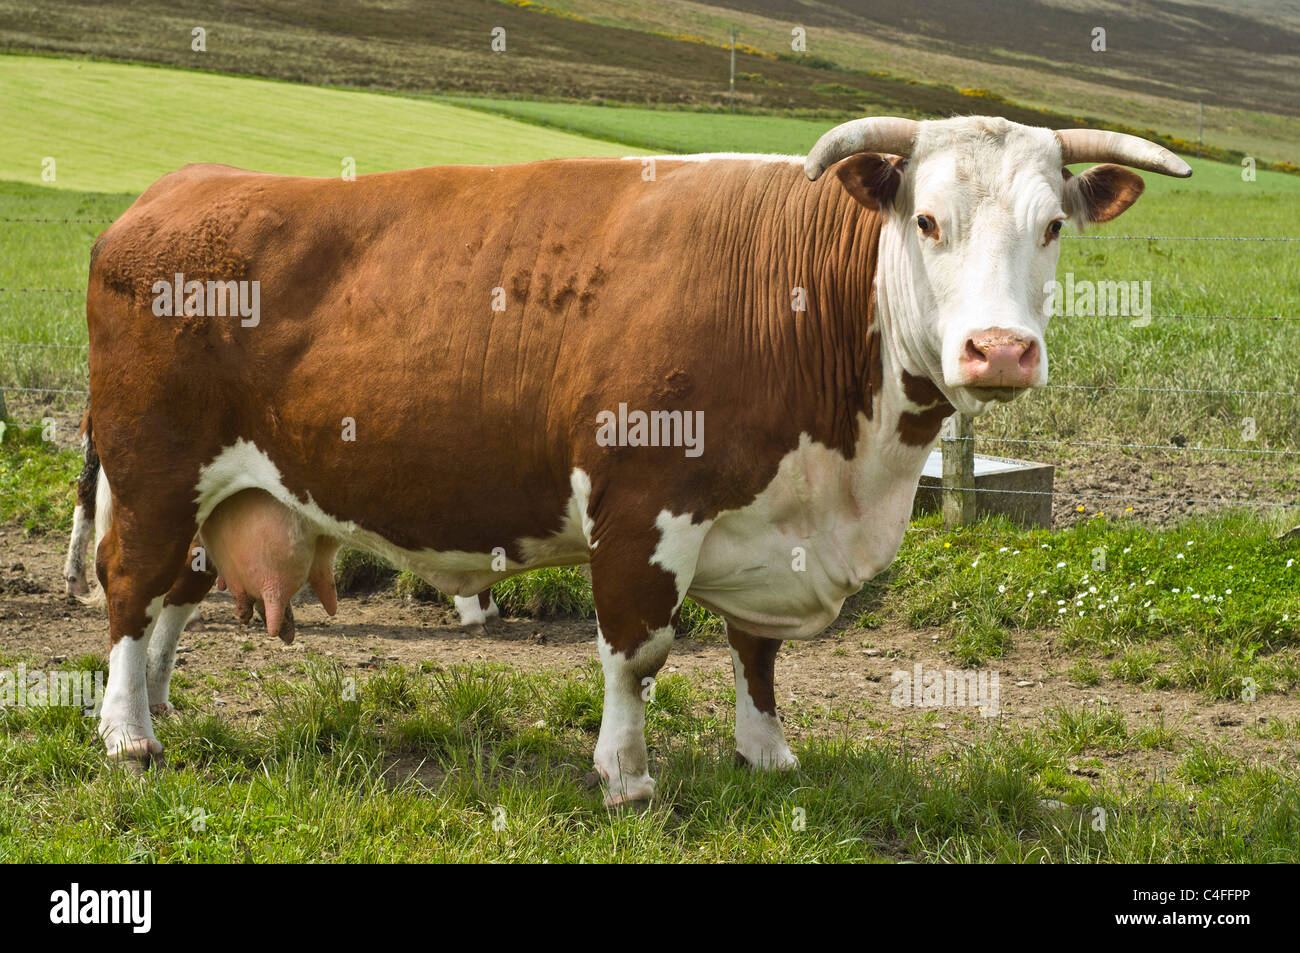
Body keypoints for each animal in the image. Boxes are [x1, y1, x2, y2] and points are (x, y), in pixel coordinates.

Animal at [83, 118, 1190, 800]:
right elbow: (638, 647)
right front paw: (625, 772)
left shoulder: (773, 526)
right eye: (927, 220)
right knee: (131, 585)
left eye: (1053, 225)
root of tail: (177, 188)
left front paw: (767, 752)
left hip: (215, 485)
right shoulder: (644, 500)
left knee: (177, 590)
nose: (999, 350)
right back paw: (126, 731)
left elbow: (757, 651)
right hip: (151, 471)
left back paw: (161, 700)